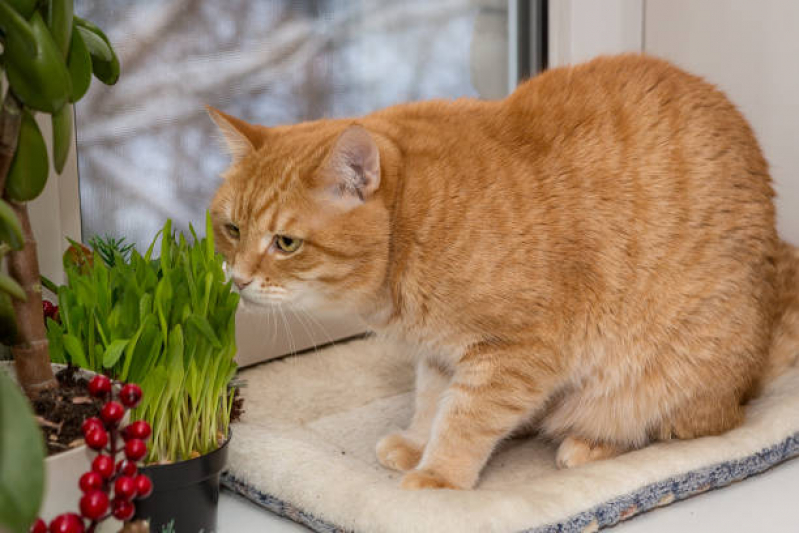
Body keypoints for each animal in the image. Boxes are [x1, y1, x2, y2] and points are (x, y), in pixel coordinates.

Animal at [209, 55, 799, 490]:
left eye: (285, 243)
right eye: (232, 229)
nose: (238, 280)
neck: (415, 221)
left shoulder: (516, 353)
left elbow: (466, 418)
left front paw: (439, 476)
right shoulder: (441, 352)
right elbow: (432, 402)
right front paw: (418, 443)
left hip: (661, 375)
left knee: (683, 424)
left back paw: (587, 443)